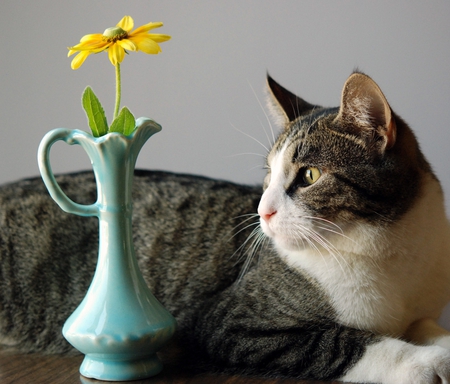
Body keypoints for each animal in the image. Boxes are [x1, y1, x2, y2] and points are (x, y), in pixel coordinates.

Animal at [0, 73, 450, 384]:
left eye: (309, 175)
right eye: (268, 176)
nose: (263, 210)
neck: (391, 253)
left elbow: (425, 325)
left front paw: (439, 339)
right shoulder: (228, 320)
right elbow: (346, 342)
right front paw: (427, 361)